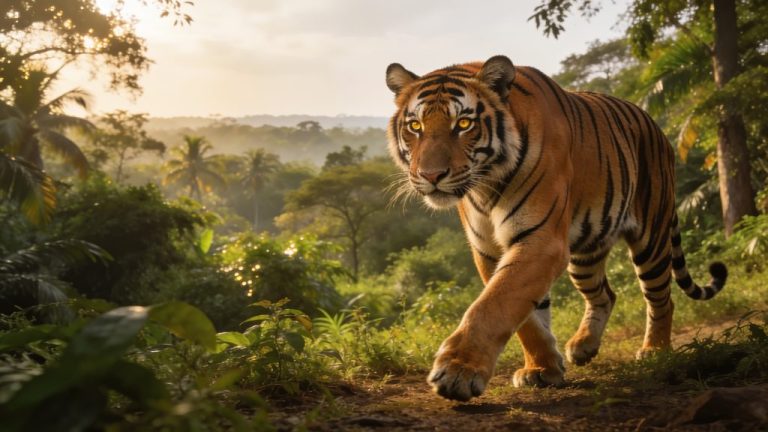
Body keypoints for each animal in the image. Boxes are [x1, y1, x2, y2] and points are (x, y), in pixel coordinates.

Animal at [384, 55, 727, 402]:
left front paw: (458, 372)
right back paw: (583, 346)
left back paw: (655, 351)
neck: (486, 185)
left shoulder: (541, 240)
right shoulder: (489, 250)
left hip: (651, 238)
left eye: (464, 124)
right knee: (605, 295)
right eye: (415, 126)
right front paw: (543, 368)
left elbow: (494, 305)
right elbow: (526, 317)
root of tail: (656, 126)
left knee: (661, 298)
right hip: (587, 253)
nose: (431, 175)